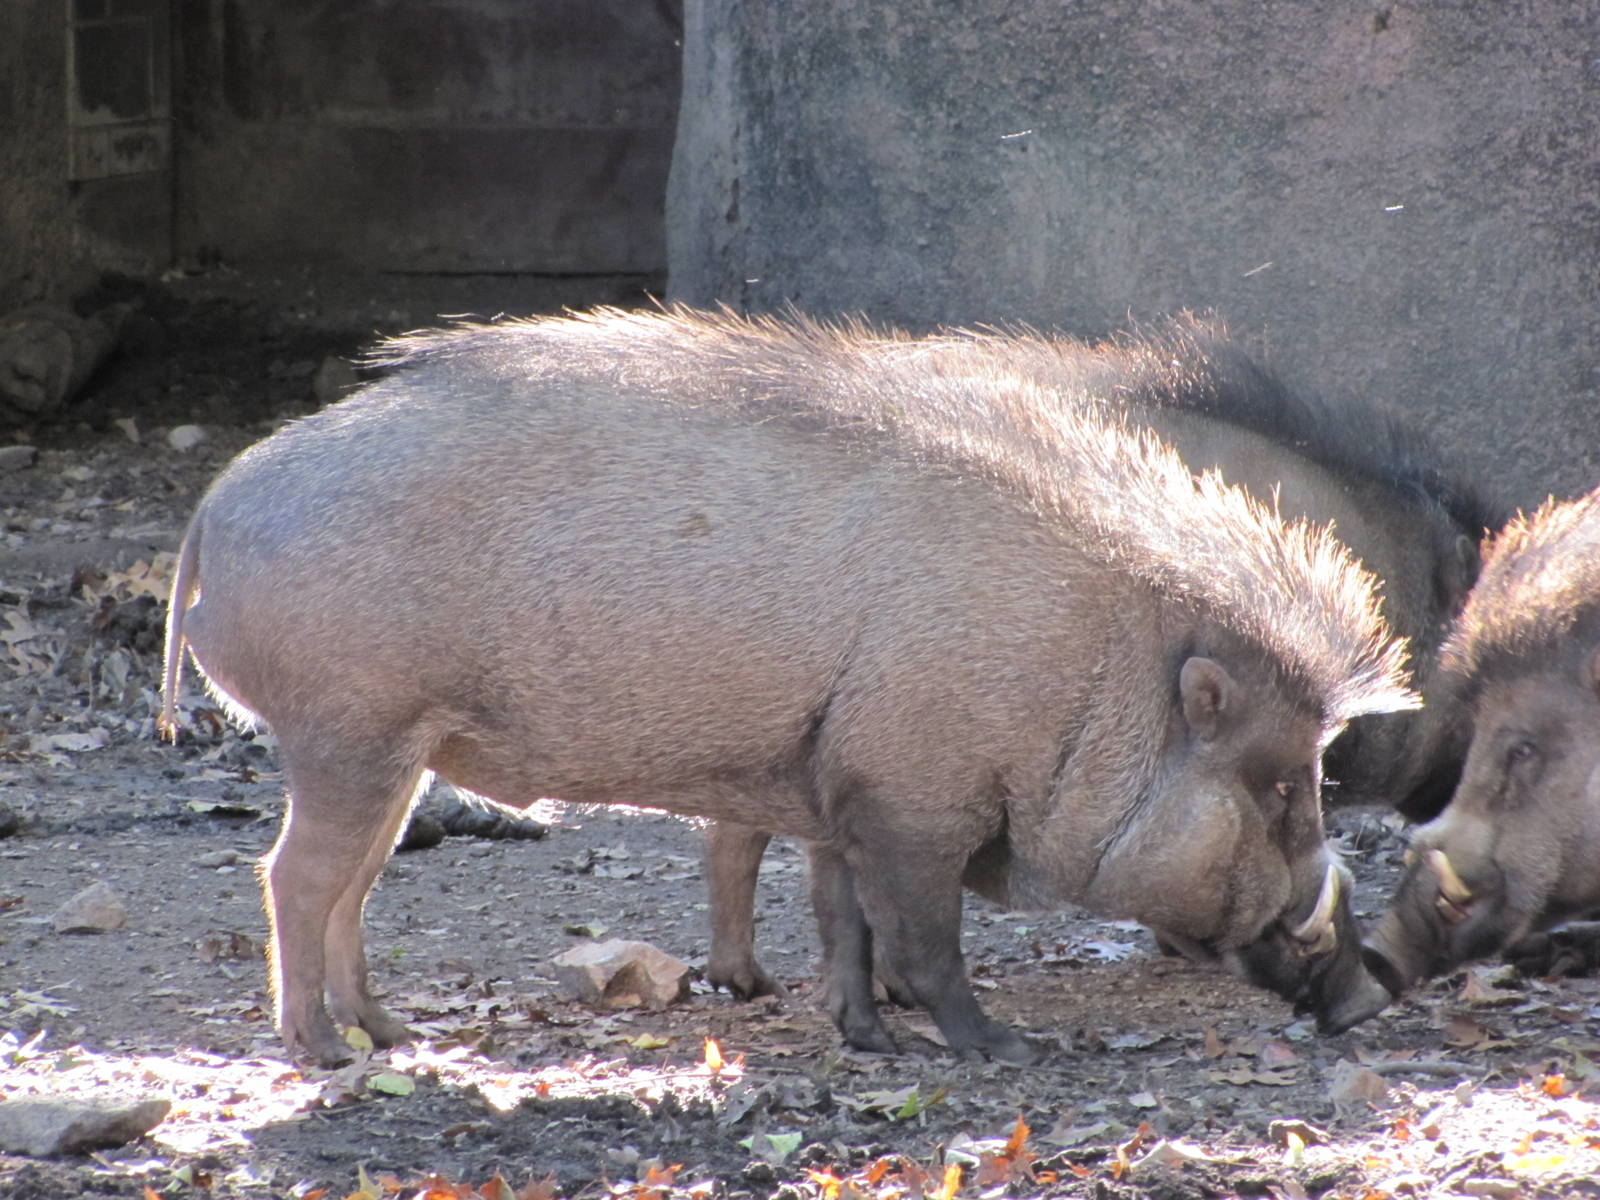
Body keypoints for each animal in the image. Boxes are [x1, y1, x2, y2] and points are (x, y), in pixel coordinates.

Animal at [159, 307, 1412, 1067]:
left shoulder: (840, 791)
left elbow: (841, 919)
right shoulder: (913, 801)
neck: (1083, 667)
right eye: (1281, 786)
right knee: (293, 878)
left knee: (352, 888)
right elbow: (922, 939)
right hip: (346, 735)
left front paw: (864, 1039)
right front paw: (995, 1048)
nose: (1371, 997)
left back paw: (385, 1034)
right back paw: (323, 1052)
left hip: (392, 756)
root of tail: (215, 507)